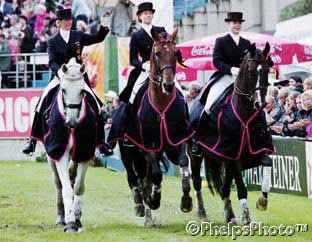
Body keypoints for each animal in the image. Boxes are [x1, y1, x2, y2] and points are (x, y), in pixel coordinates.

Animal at [112, 28, 194, 227]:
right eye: (156, 53)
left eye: (175, 53)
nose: (168, 85)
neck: (162, 104)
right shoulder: (149, 144)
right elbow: (156, 175)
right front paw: (154, 200)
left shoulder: (178, 140)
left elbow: (183, 164)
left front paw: (186, 201)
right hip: (127, 150)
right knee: (132, 176)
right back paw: (140, 205)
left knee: (145, 178)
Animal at [188, 42, 272, 225]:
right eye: (251, 71)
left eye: (267, 70)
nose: (260, 104)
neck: (244, 116)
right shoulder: (234, 154)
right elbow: (241, 186)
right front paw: (246, 218)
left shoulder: (256, 148)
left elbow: (267, 163)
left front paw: (262, 201)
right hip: (196, 155)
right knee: (197, 182)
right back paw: (202, 213)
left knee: (224, 185)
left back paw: (230, 215)